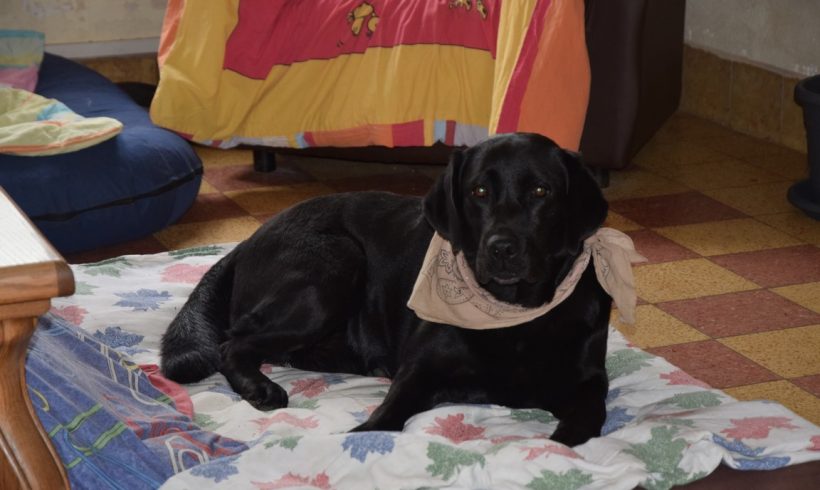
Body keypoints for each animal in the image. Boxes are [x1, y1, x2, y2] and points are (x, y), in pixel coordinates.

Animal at [160, 132, 613, 446]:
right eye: (479, 191)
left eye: (541, 191)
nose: (501, 248)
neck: (511, 315)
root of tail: (248, 239)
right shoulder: (419, 370)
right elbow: (384, 421)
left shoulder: (589, 382)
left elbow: (583, 424)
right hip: (333, 267)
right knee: (232, 343)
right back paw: (262, 387)